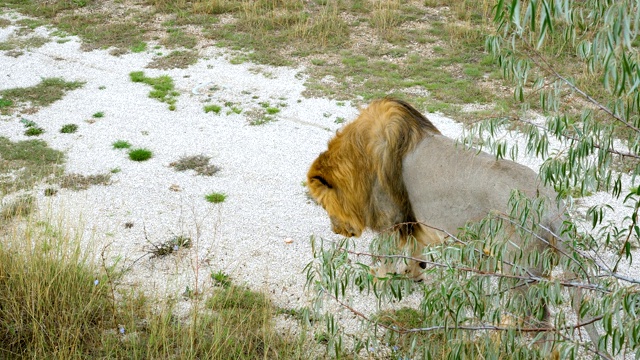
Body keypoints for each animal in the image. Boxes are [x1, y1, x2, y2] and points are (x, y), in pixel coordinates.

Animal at [308, 97, 596, 350]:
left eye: (322, 205)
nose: (336, 229)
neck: (360, 164)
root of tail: (553, 206)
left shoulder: (392, 222)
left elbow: (385, 258)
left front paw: (377, 281)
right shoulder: (414, 222)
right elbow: (415, 253)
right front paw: (414, 275)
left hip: (517, 273)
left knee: (540, 324)